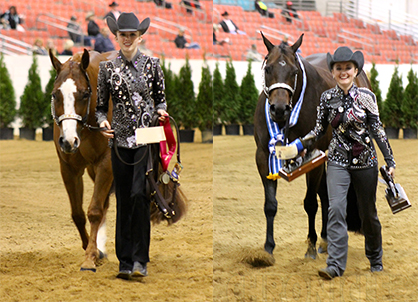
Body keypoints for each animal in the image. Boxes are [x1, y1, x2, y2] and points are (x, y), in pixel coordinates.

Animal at [49, 49, 117, 272]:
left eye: (85, 94)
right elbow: (78, 213)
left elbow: (94, 211)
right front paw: (94, 251)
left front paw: (89, 258)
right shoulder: (69, 169)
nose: (69, 141)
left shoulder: (107, 164)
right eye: (55, 94)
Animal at [255, 33, 370, 260]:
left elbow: (310, 202)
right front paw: (268, 249)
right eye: (268, 68)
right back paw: (326, 240)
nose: (279, 109)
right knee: (326, 195)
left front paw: (310, 246)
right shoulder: (263, 156)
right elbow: (270, 204)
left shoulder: (313, 158)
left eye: (294, 71)